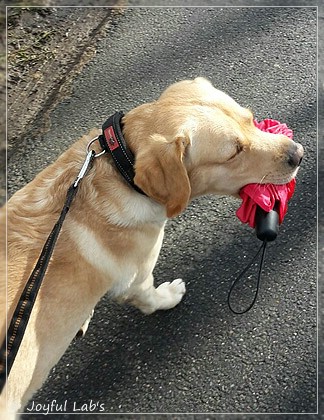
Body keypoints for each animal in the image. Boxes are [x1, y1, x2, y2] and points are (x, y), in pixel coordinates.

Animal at [0, 78, 304, 416]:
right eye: (233, 152)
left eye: (250, 119)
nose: (299, 153)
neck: (122, 169)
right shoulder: (137, 278)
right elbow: (150, 298)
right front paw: (169, 296)